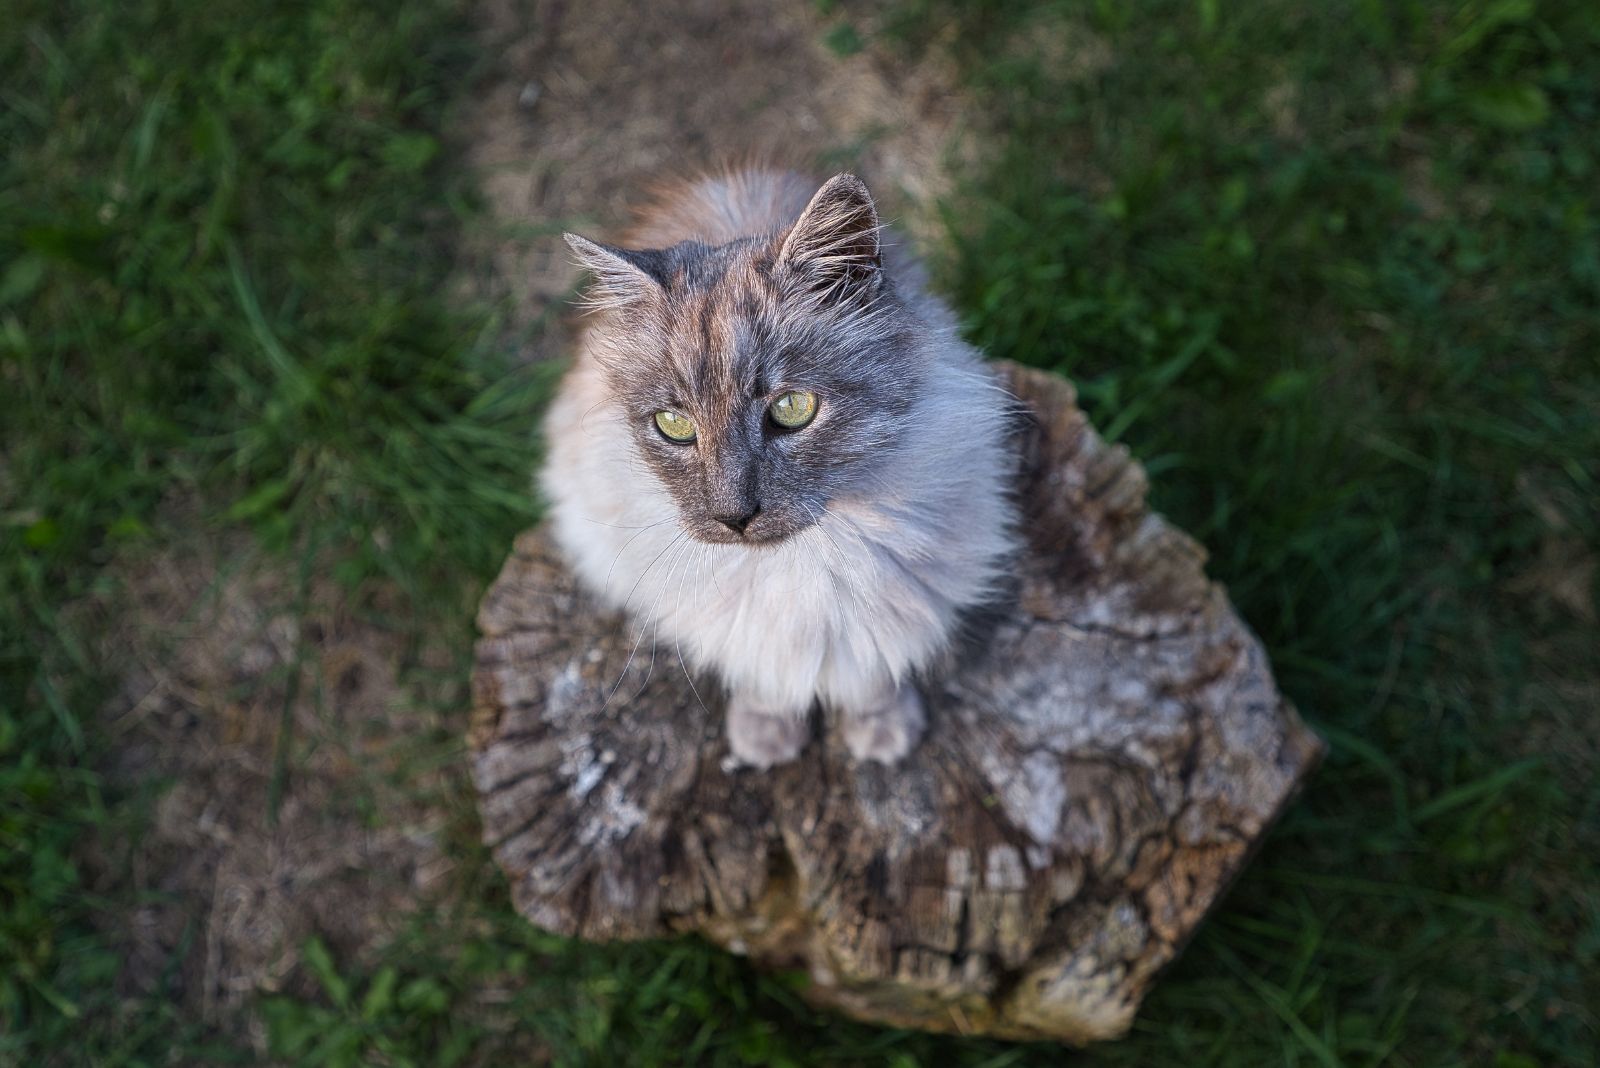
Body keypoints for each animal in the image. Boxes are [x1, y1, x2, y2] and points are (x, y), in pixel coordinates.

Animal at [537, 167, 1011, 767]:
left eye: (792, 409)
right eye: (674, 425)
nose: (733, 517)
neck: (806, 564)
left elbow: (873, 676)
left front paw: (881, 731)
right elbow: (764, 676)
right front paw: (767, 734)